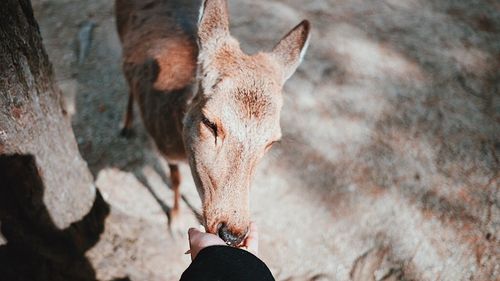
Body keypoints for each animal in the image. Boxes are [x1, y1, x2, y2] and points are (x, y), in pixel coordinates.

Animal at [115, 0, 310, 245]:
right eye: (209, 122)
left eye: (272, 141)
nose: (232, 233)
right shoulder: (164, 149)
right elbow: (176, 180)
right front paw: (175, 222)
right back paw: (126, 126)